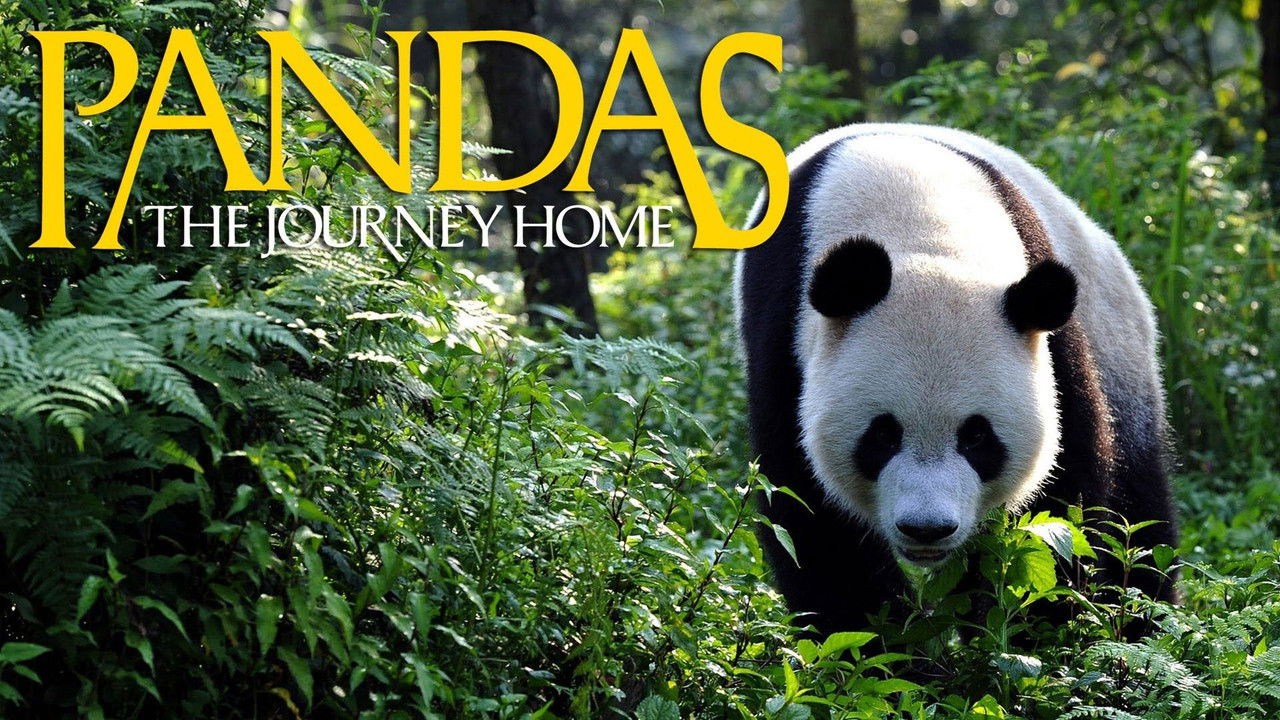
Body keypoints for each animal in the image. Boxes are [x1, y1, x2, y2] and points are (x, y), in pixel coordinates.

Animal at [734, 124, 1179, 635]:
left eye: (977, 437)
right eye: (882, 435)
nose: (926, 529)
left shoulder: (1051, 339)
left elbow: (1064, 498)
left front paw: (1029, 632)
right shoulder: (785, 340)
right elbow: (810, 516)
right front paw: (883, 641)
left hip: (1117, 344)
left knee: (1138, 510)